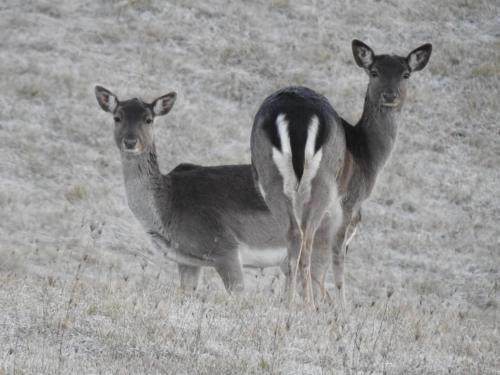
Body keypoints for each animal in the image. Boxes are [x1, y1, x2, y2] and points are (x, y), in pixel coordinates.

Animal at [252, 40, 432, 312]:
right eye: (374, 72)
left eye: (405, 74)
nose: (390, 96)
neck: (368, 156)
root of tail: (296, 114)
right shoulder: (349, 204)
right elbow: (336, 255)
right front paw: (341, 306)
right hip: (323, 184)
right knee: (304, 240)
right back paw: (307, 304)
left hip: (268, 176)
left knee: (293, 236)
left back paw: (291, 300)